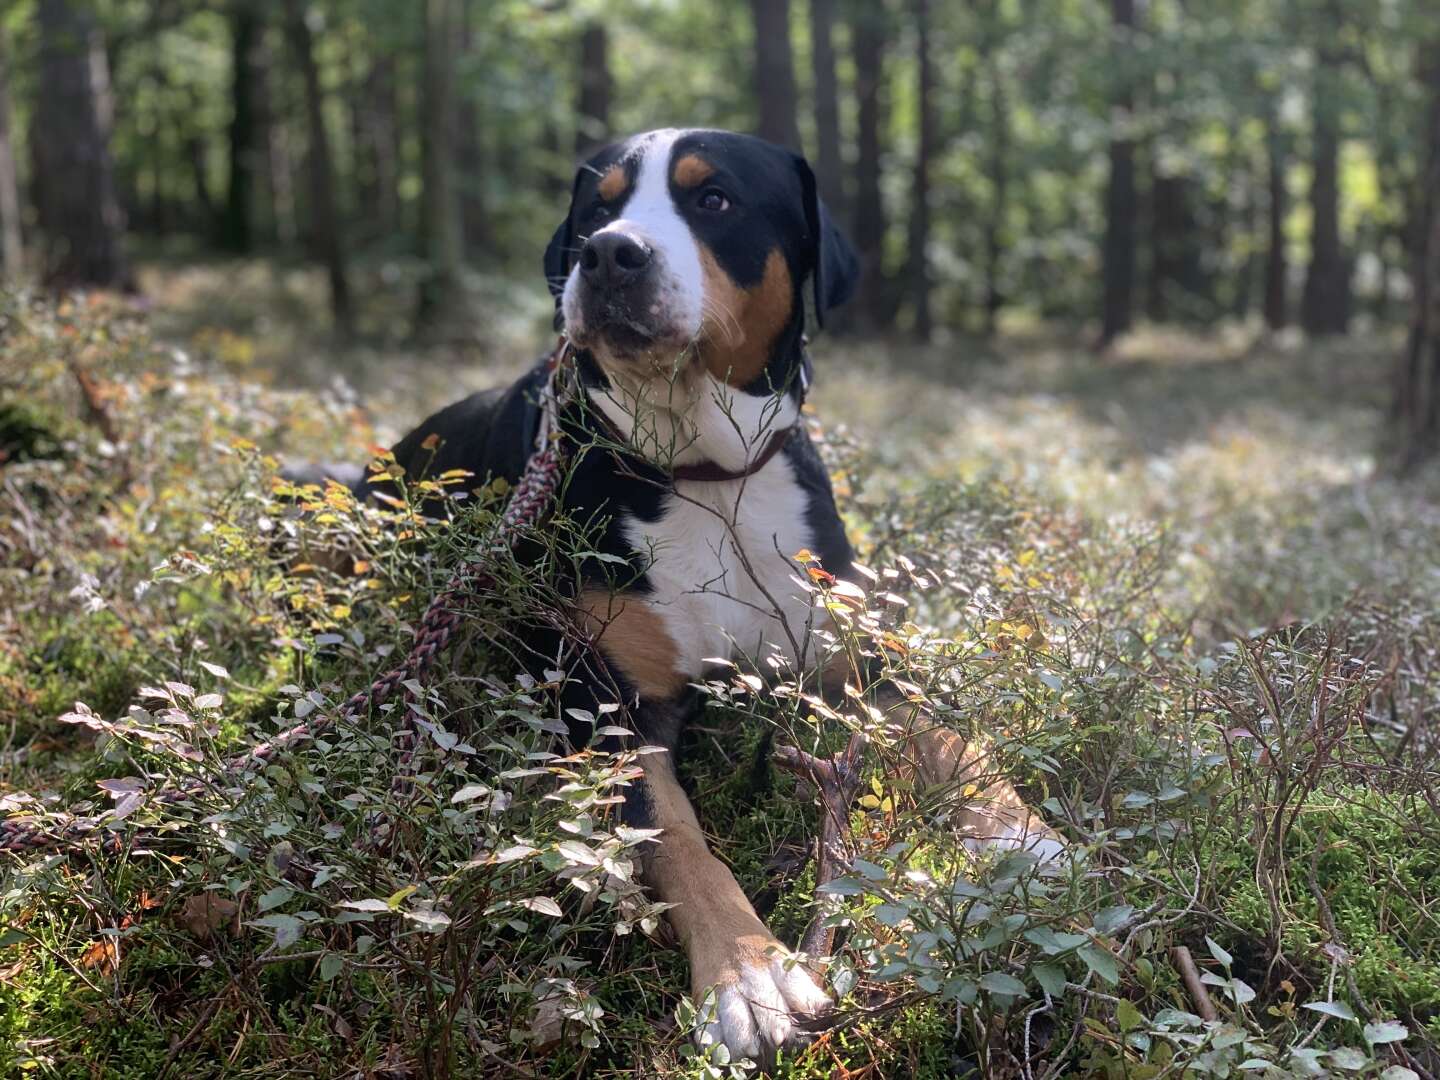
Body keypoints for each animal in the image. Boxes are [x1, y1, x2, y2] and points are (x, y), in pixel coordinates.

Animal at [341, 131, 1059, 1071]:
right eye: (598, 207)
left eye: (713, 199)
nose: (611, 253)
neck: (707, 477)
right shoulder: (609, 709)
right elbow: (680, 842)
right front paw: (748, 976)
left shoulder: (851, 663)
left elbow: (949, 739)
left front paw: (1023, 834)